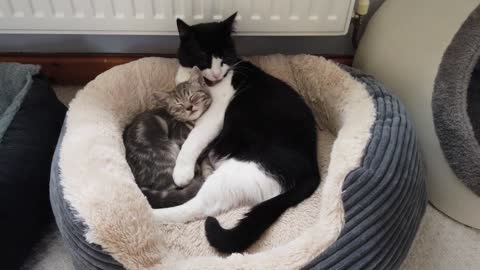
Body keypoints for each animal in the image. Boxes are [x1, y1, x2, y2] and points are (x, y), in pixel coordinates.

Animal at [124, 67, 212, 209]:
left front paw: (207, 169)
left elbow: (205, 161)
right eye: (179, 105)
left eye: (192, 96)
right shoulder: (179, 141)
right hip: (166, 151)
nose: (189, 107)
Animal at [154, 12, 318, 253]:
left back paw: (145, 213)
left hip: (239, 173)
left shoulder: (213, 116)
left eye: (225, 57)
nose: (216, 73)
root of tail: (314, 171)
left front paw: (181, 170)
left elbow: (194, 138)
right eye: (203, 56)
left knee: (196, 208)